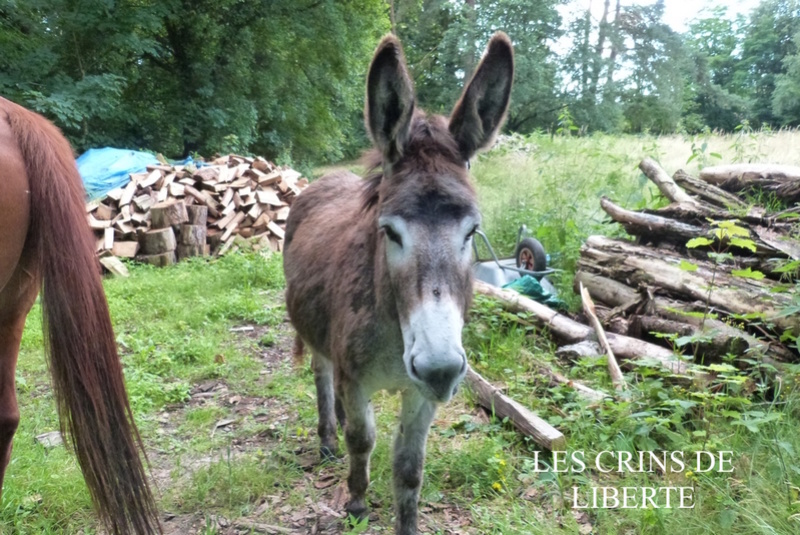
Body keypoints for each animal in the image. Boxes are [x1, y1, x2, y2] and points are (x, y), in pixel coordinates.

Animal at [284, 34, 516, 535]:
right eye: (390, 232)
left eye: (471, 232)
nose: (440, 369)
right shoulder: (358, 380)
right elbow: (362, 439)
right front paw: (355, 503)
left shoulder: (420, 395)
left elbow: (410, 467)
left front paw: (405, 523)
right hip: (314, 333)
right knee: (322, 374)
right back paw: (327, 437)